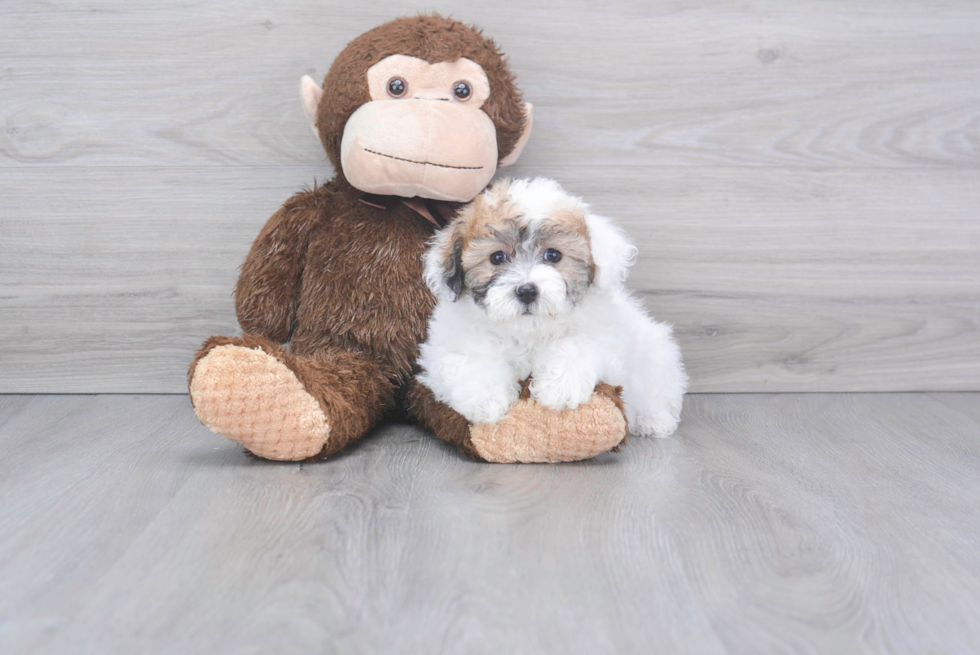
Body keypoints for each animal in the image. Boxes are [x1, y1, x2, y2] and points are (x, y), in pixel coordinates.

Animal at [416, 177, 688, 438]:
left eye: (553, 255)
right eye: (497, 257)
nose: (527, 291)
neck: (529, 331)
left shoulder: (604, 337)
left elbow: (577, 346)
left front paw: (560, 388)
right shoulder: (444, 348)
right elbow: (470, 360)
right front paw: (487, 401)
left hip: (656, 355)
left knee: (658, 392)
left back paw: (654, 421)